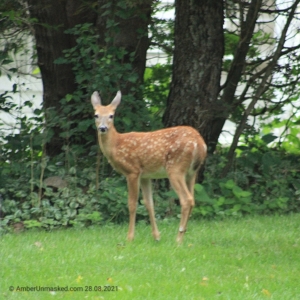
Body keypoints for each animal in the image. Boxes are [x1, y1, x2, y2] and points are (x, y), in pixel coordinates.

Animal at [91, 90, 207, 243]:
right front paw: (157, 236)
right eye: (96, 115)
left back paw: (178, 238)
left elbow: (132, 204)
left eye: (111, 115)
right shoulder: (146, 175)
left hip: (175, 168)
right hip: (192, 172)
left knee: (186, 199)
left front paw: (130, 237)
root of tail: (200, 143)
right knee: (193, 199)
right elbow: (149, 203)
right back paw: (182, 235)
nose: (102, 128)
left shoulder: (132, 171)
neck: (116, 145)